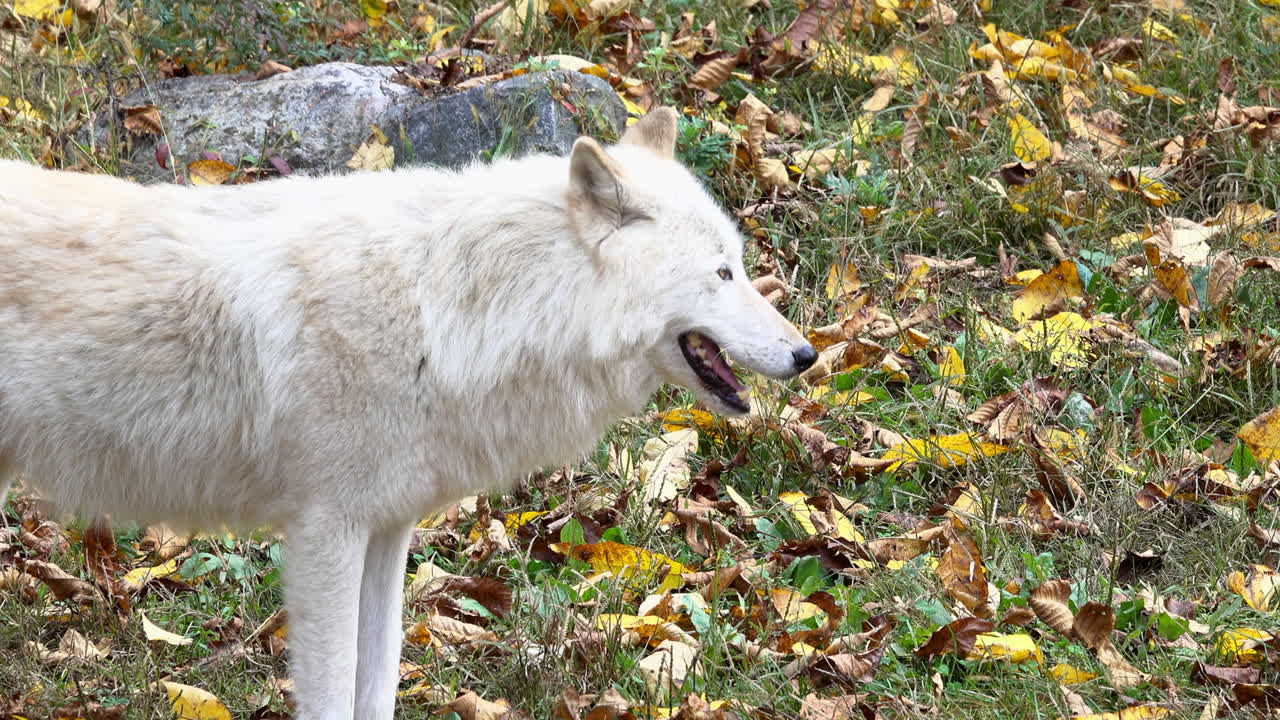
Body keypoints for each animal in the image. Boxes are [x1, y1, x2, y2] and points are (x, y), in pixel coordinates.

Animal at [0, 107, 816, 718]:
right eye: (722, 275)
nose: (808, 354)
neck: (448, 308)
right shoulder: (325, 532)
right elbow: (333, 695)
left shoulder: (387, 530)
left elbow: (379, 680)